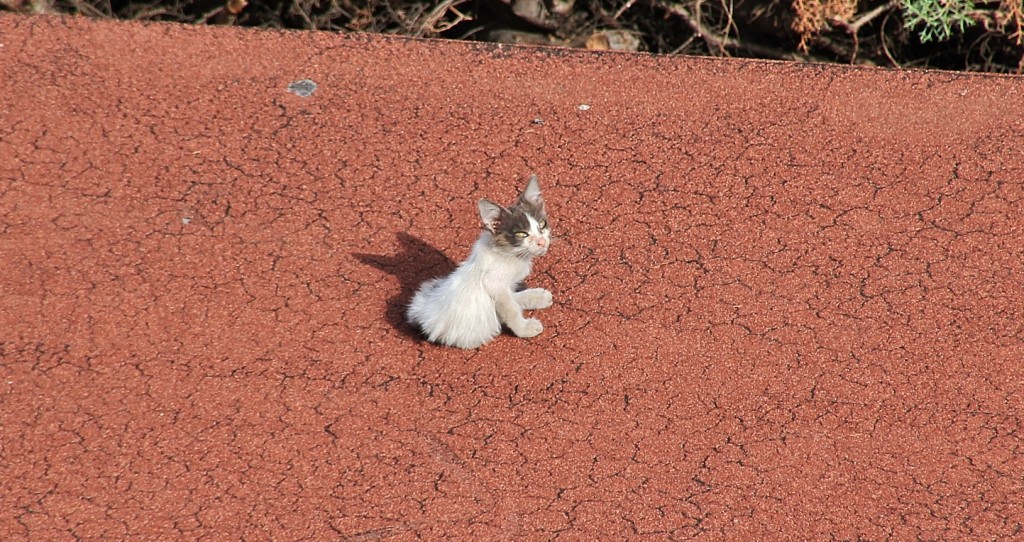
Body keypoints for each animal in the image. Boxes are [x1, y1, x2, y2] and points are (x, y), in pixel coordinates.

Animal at [405, 175, 557, 348]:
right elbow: (509, 307)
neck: (509, 253)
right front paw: (524, 329)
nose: (542, 242)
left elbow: (509, 297)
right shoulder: (493, 282)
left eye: (542, 225)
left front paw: (534, 297)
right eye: (521, 234)